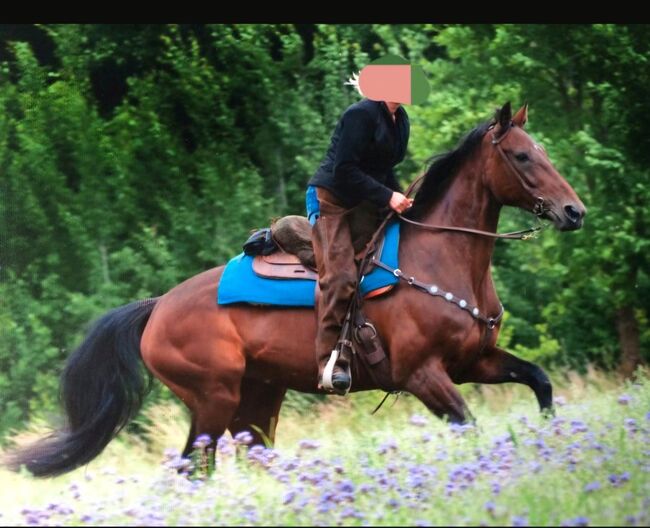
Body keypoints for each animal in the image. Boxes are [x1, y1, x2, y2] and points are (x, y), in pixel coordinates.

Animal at [7, 101, 584, 476]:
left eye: (541, 150)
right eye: (523, 156)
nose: (574, 211)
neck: (442, 257)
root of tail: (157, 307)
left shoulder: (473, 362)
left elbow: (539, 382)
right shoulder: (424, 376)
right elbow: (470, 424)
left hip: (258, 398)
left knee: (247, 459)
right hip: (213, 400)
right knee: (195, 466)